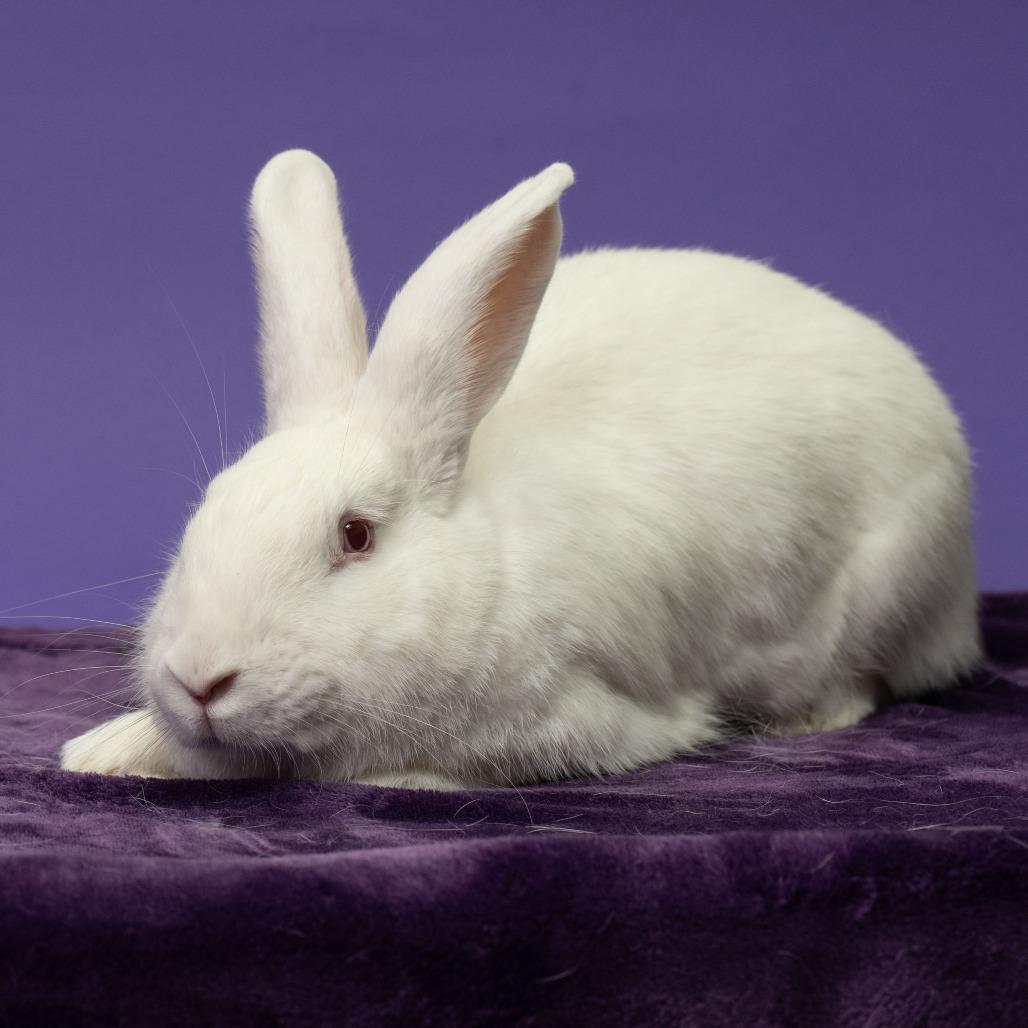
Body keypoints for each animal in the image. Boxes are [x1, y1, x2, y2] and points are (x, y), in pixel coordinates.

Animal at [60, 149, 980, 790]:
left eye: (356, 535)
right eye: (204, 512)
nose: (199, 678)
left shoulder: (588, 712)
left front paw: (402, 775)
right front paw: (102, 750)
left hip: (883, 586)